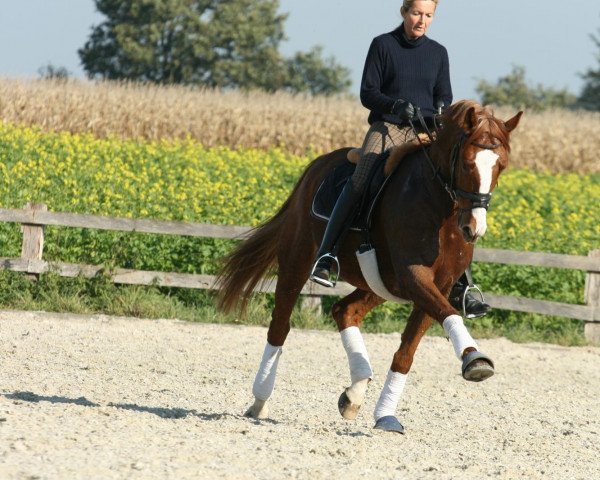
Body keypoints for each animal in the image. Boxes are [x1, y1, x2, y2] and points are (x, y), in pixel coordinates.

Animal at [216, 99, 520, 434]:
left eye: (501, 167)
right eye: (467, 164)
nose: (473, 229)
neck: (439, 209)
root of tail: (316, 166)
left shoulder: (438, 284)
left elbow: (407, 353)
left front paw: (385, 415)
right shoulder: (415, 277)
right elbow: (449, 314)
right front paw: (475, 361)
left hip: (380, 284)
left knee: (344, 311)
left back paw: (354, 393)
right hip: (297, 262)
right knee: (280, 326)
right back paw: (260, 400)